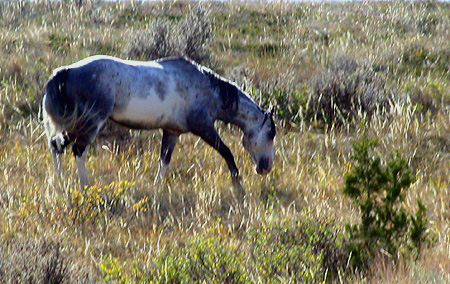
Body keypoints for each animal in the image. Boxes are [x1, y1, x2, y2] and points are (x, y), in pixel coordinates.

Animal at [42, 55, 276, 195]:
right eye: (271, 133)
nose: (265, 168)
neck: (208, 89)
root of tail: (66, 71)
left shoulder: (172, 132)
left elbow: (164, 160)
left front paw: (157, 188)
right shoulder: (203, 127)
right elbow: (226, 152)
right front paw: (239, 188)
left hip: (76, 124)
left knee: (56, 147)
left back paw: (57, 183)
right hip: (90, 123)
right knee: (78, 151)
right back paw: (86, 187)